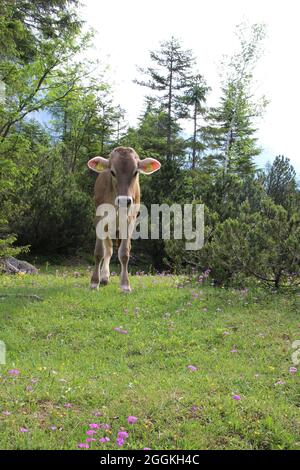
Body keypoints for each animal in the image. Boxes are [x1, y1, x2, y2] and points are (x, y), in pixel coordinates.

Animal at [88, 147, 161, 292]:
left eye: (135, 172)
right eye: (112, 172)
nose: (124, 200)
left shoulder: (129, 221)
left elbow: (124, 253)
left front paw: (125, 285)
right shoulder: (99, 219)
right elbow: (99, 252)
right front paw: (94, 282)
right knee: (108, 250)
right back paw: (104, 277)